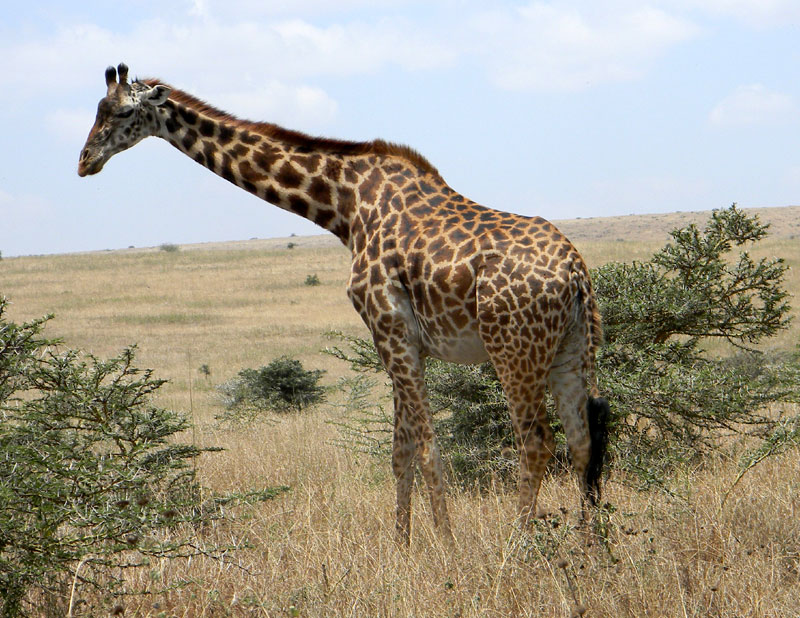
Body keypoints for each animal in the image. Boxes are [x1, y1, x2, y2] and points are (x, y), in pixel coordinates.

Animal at [78, 63, 608, 544]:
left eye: (122, 111)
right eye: (96, 108)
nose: (85, 161)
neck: (345, 206)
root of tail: (575, 272)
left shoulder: (390, 329)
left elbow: (428, 448)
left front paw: (446, 546)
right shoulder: (401, 341)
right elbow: (401, 451)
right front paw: (401, 547)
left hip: (514, 349)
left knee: (536, 443)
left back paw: (517, 548)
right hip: (572, 350)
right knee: (581, 441)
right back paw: (586, 546)